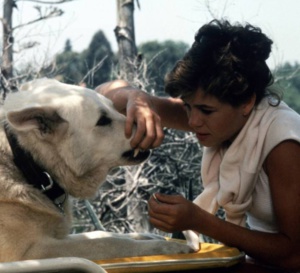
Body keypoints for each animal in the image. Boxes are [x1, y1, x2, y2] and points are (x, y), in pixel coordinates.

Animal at [0, 78, 191, 262]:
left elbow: (100, 233)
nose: (153, 124)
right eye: (103, 121)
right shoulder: (30, 252)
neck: (25, 162)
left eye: (114, 107)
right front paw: (165, 247)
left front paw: (147, 236)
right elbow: (108, 242)